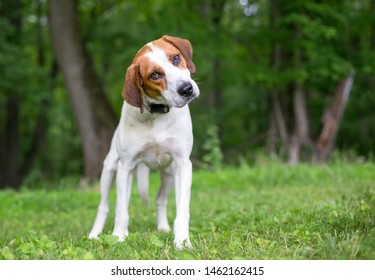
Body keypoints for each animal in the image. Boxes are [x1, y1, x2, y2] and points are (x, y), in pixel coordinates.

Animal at [89, 35, 200, 249]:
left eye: (176, 58)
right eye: (155, 74)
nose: (186, 89)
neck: (156, 114)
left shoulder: (183, 164)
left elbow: (182, 209)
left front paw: (182, 241)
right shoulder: (125, 167)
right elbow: (120, 211)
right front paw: (119, 237)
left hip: (169, 173)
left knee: (160, 199)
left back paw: (163, 227)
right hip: (110, 169)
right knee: (104, 206)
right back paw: (94, 234)